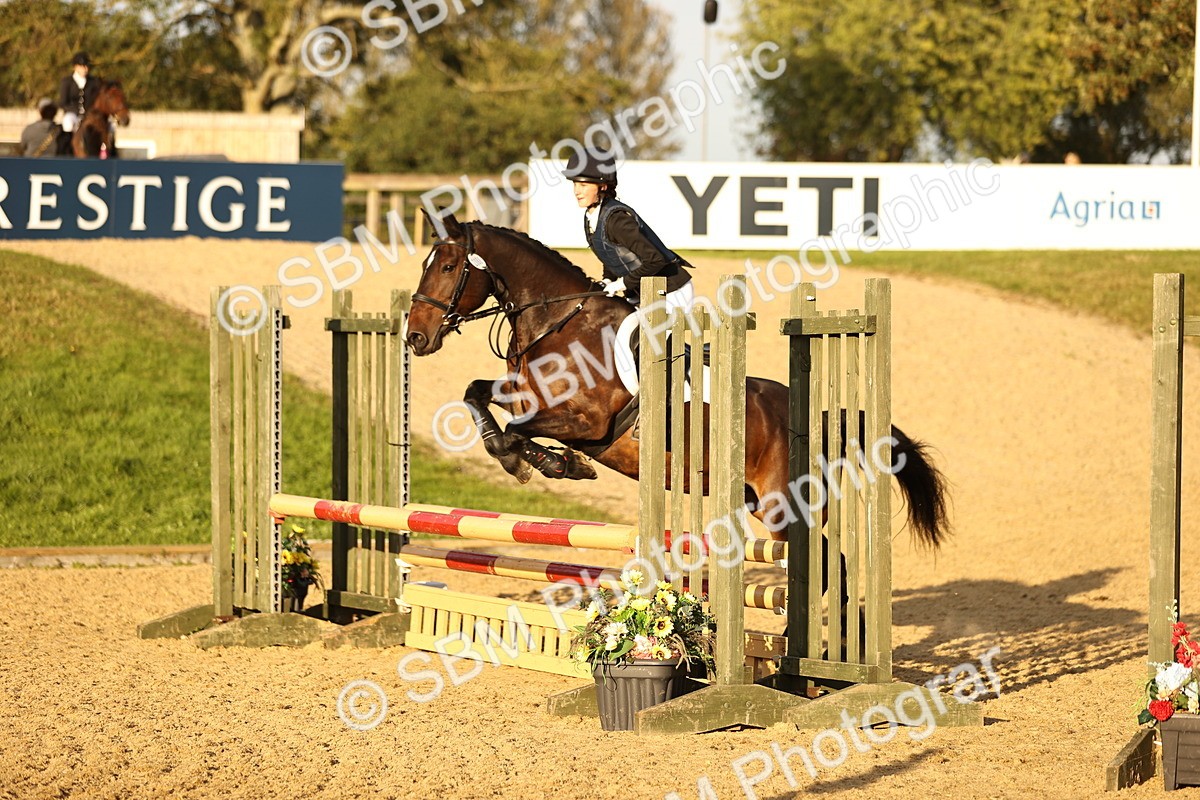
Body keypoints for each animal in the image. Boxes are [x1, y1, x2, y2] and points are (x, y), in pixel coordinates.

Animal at [406, 211, 950, 550]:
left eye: (450, 266)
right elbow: (478, 397)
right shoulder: (525, 397)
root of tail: (821, 419)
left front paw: (551, 464)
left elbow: (520, 431)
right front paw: (529, 459)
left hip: (785, 509)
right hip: (761, 505)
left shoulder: (587, 421)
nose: (415, 336)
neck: (559, 321)